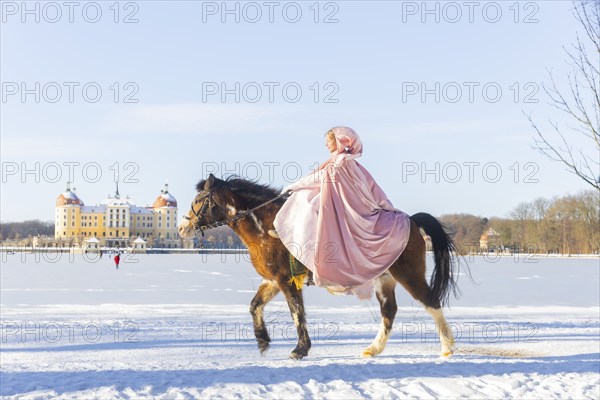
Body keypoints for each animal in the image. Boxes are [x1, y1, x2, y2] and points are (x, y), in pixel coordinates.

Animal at [178, 174, 460, 360]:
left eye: (199, 200)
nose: (182, 227)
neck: (267, 227)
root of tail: (410, 220)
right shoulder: (271, 281)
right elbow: (254, 306)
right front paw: (263, 341)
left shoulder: (286, 280)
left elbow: (297, 313)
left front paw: (300, 349)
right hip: (384, 279)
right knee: (389, 311)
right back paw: (374, 348)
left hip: (408, 274)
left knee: (431, 302)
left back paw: (447, 347)